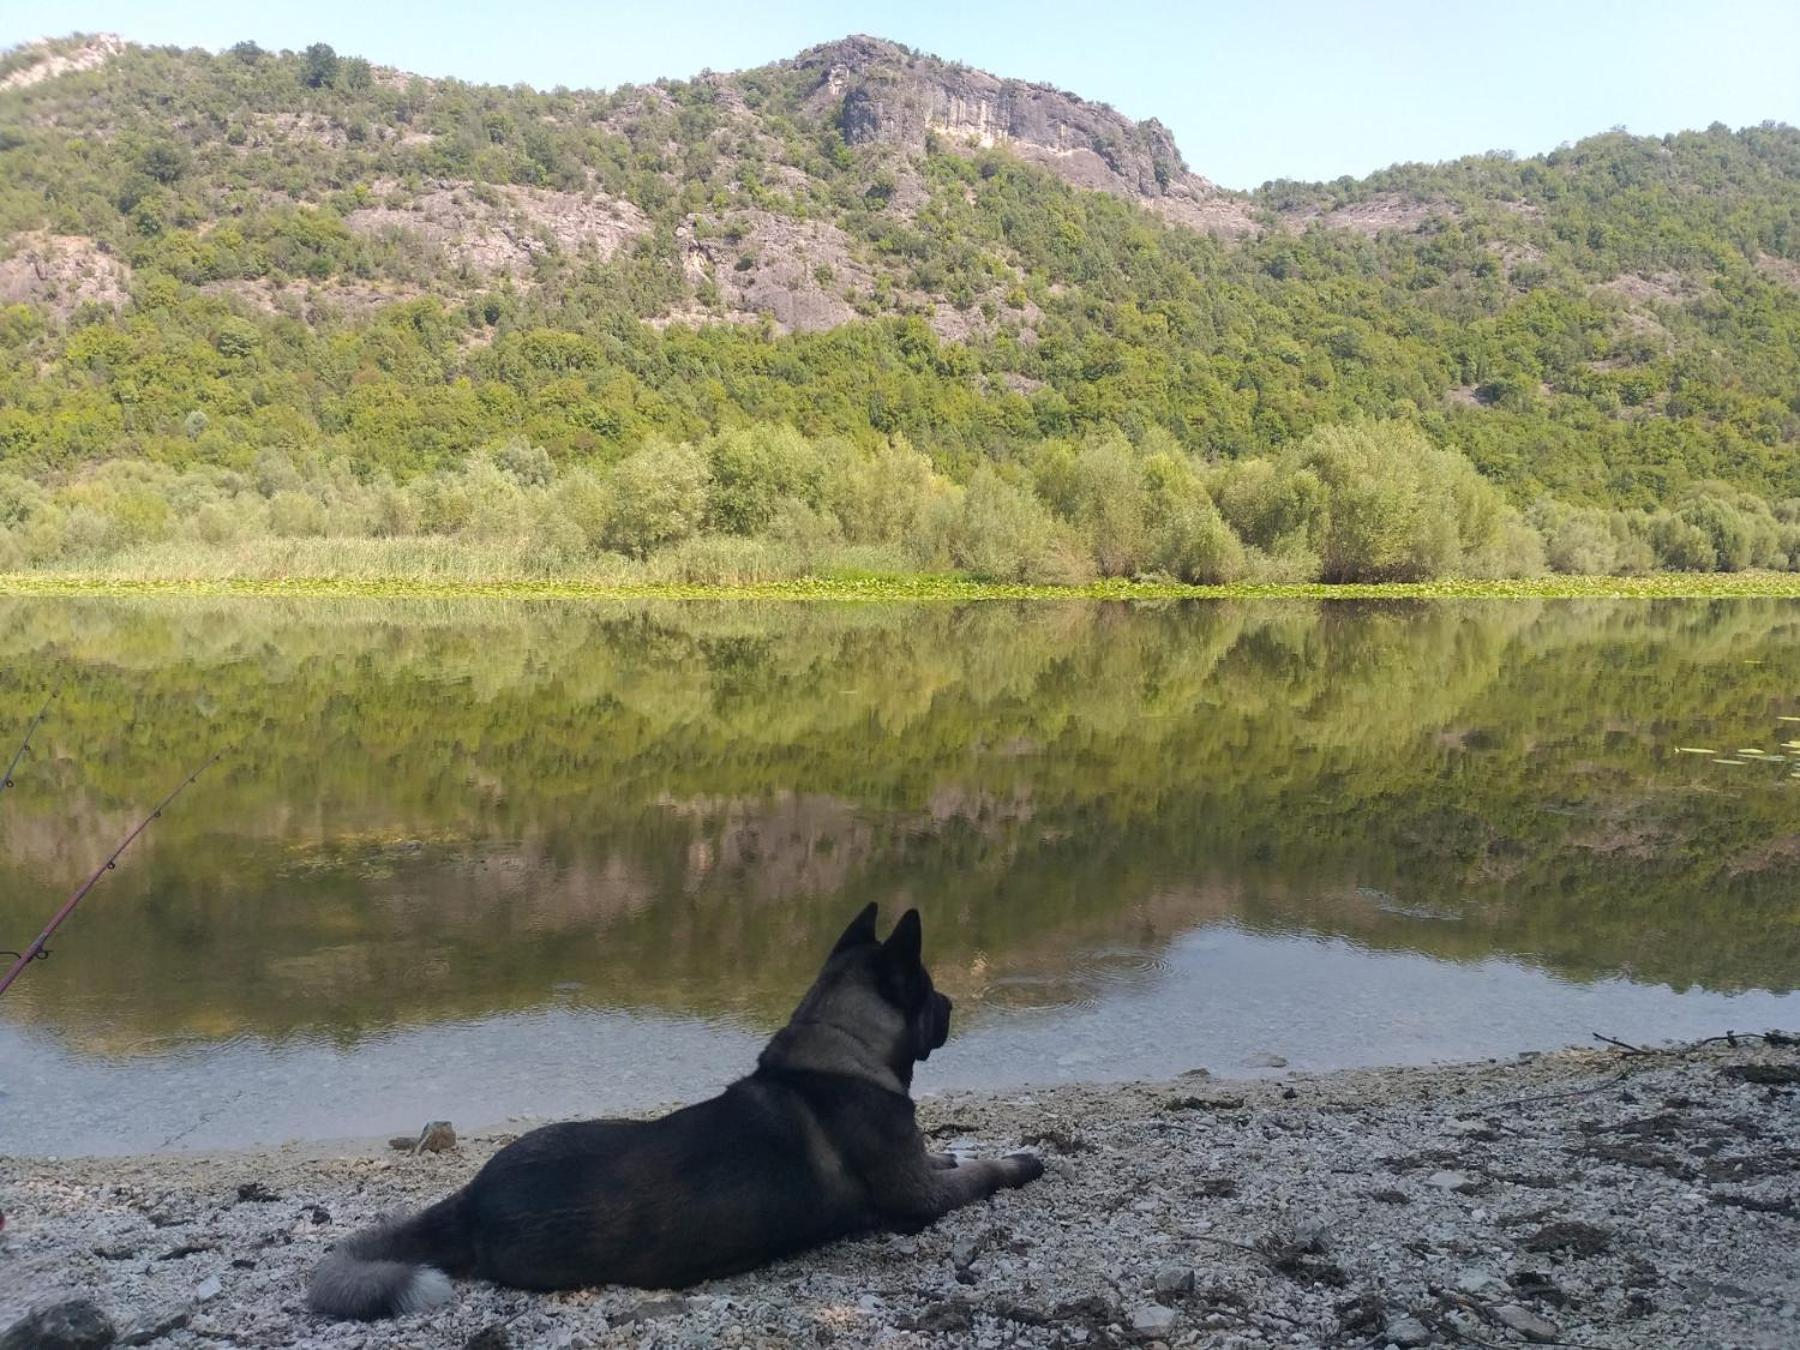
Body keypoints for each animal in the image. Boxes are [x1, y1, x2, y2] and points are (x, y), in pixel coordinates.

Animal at [307, 910, 1044, 1324]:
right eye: (929, 990)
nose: (952, 1004)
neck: (842, 1044)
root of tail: (472, 1199)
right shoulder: (922, 1200)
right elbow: (984, 1174)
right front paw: (1018, 1163)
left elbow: (947, 1155)